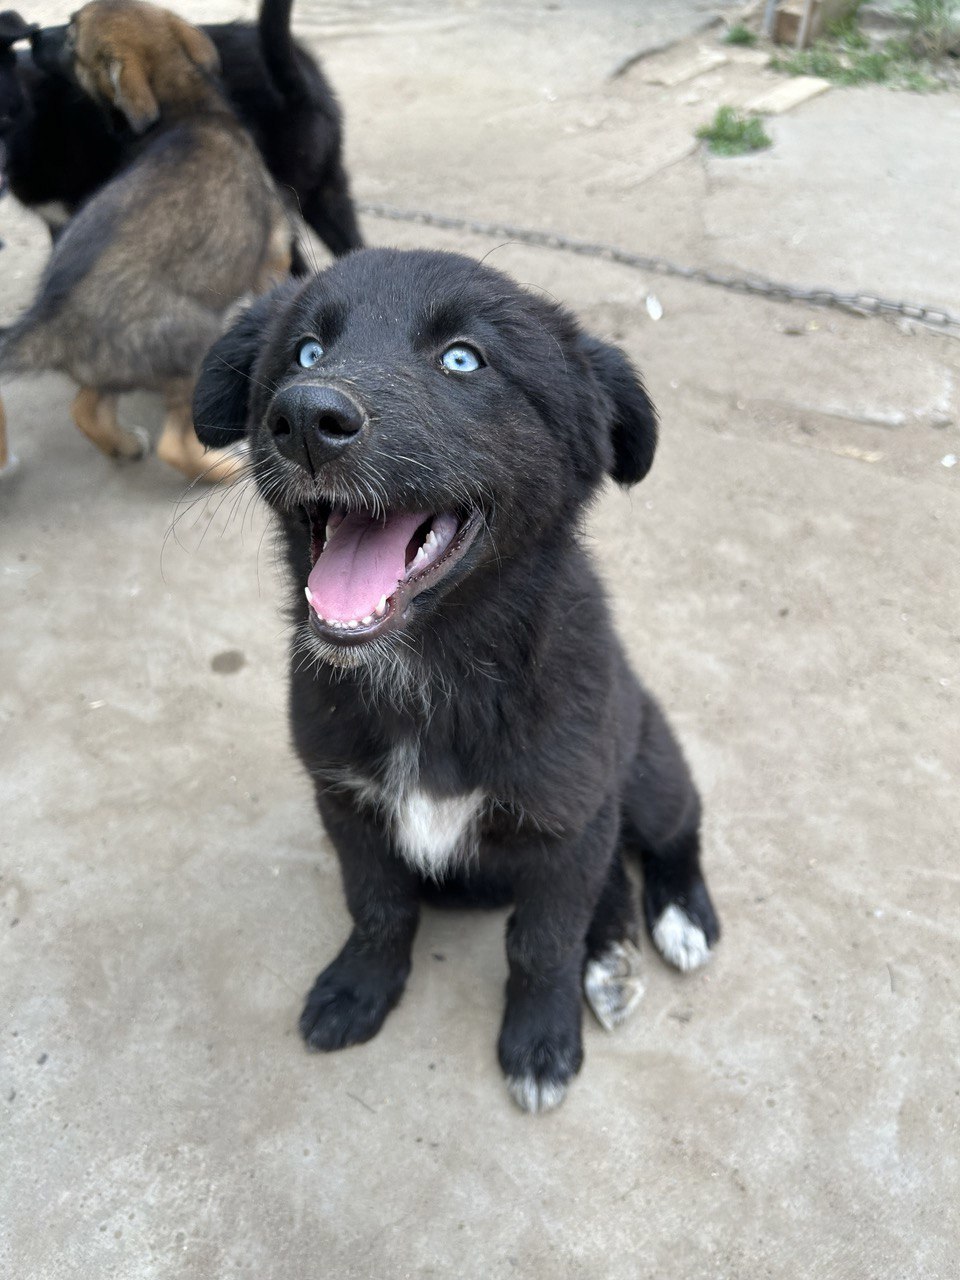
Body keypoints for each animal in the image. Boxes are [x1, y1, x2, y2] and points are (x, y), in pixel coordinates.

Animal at [0, 0, 295, 481]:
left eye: (71, 39)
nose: (36, 34)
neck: (188, 109)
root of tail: (51, 317)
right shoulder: (272, 256)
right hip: (190, 343)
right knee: (174, 446)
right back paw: (225, 468)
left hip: (111, 369)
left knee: (85, 410)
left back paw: (122, 447)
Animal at [193, 247, 721, 1111]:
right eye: (304, 353)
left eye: (463, 360)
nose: (304, 418)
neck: (431, 679)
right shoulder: (348, 806)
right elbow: (377, 907)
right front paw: (359, 988)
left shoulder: (565, 820)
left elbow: (541, 942)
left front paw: (541, 1041)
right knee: (609, 881)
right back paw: (610, 960)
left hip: (645, 766)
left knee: (676, 829)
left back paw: (678, 916)